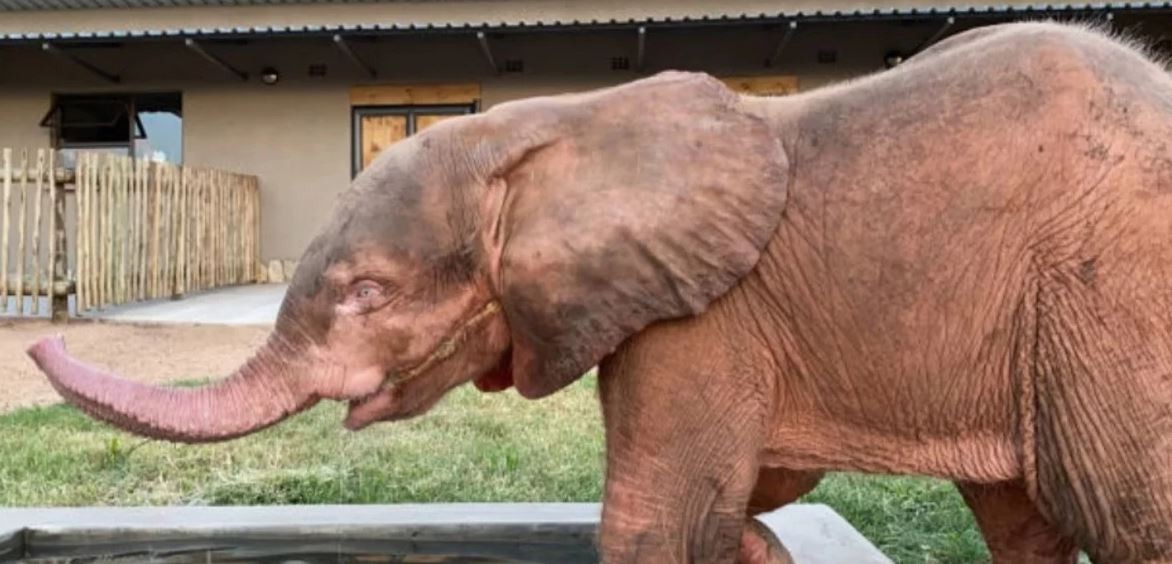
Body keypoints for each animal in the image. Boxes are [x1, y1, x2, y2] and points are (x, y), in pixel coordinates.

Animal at [26, 20, 1172, 563]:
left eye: (366, 293)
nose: (40, 340)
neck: (553, 122)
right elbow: (742, 494)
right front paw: (755, 544)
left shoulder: (705, 316)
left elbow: (656, 524)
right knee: (1024, 524)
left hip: (1107, 298)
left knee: (1125, 516)